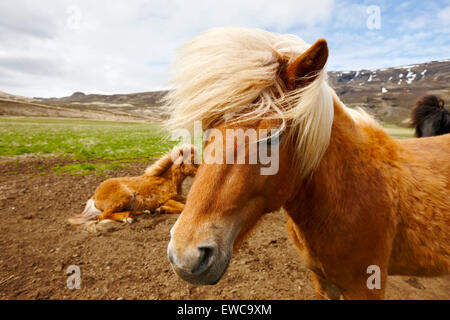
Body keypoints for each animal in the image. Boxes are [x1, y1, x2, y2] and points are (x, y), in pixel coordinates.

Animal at [165, 28, 450, 300]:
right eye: (209, 129)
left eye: (273, 136)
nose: (185, 258)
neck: (347, 191)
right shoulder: (322, 282)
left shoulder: (367, 287)